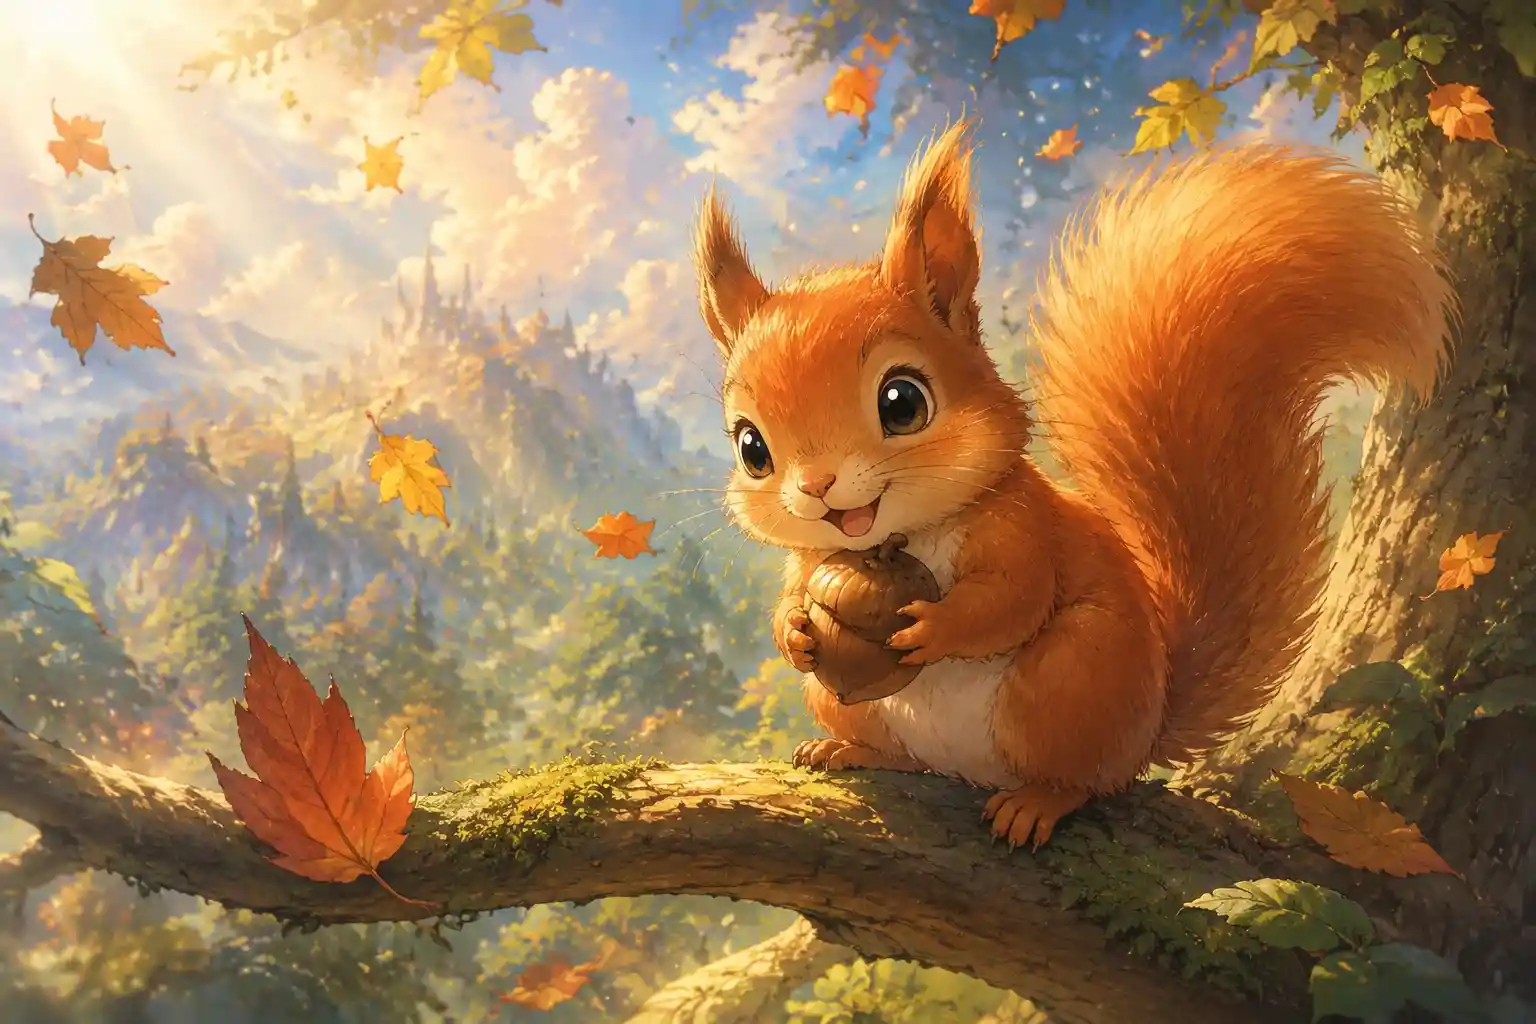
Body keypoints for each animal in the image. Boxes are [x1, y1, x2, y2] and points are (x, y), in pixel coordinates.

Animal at [690, 119, 1455, 848]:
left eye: (902, 402)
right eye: (751, 447)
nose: (817, 487)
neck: (897, 539)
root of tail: (1148, 728)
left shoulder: (1021, 525)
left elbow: (1013, 598)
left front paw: (935, 627)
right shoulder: (811, 558)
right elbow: (793, 597)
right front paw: (794, 630)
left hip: (1072, 678)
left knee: (1082, 778)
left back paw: (1036, 802)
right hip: (857, 704)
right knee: (907, 756)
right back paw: (848, 751)